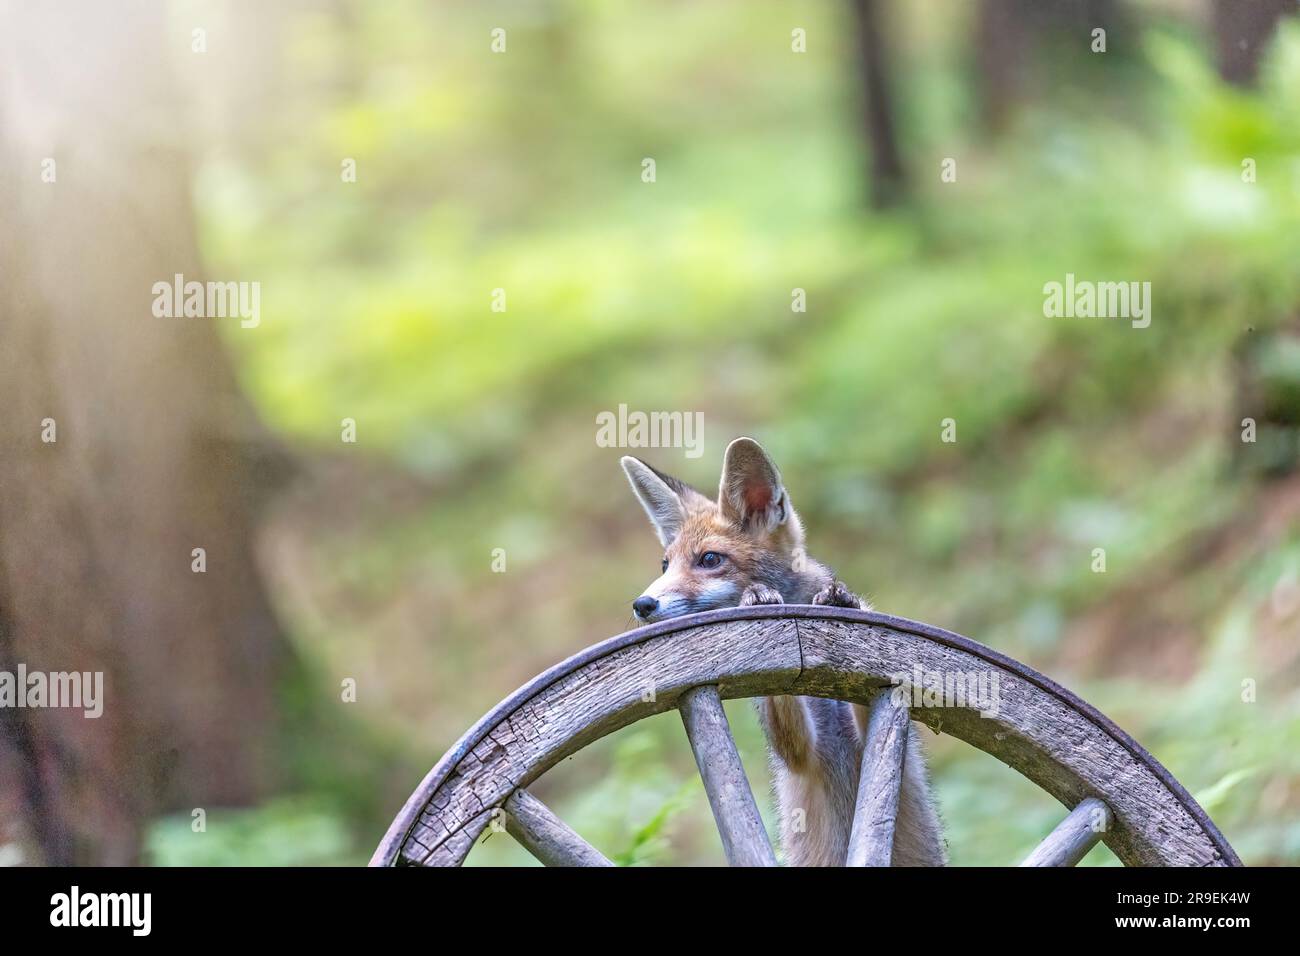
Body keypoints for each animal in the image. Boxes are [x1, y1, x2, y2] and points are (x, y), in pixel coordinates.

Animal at [620, 436, 946, 867]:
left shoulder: (887, 737)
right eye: (665, 565)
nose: (642, 605)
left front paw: (844, 602)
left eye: (709, 559)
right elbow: (784, 705)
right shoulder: (799, 751)